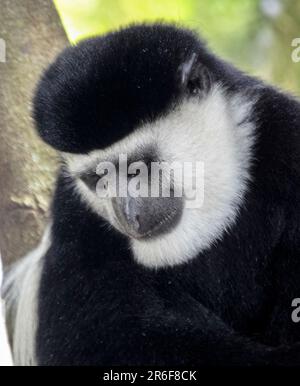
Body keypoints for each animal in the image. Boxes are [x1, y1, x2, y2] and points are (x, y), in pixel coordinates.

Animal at [1, 23, 300, 364]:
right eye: (97, 178)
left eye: (137, 168)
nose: (126, 213)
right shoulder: (74, 220)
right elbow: (98, 339)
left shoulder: (287, 141)